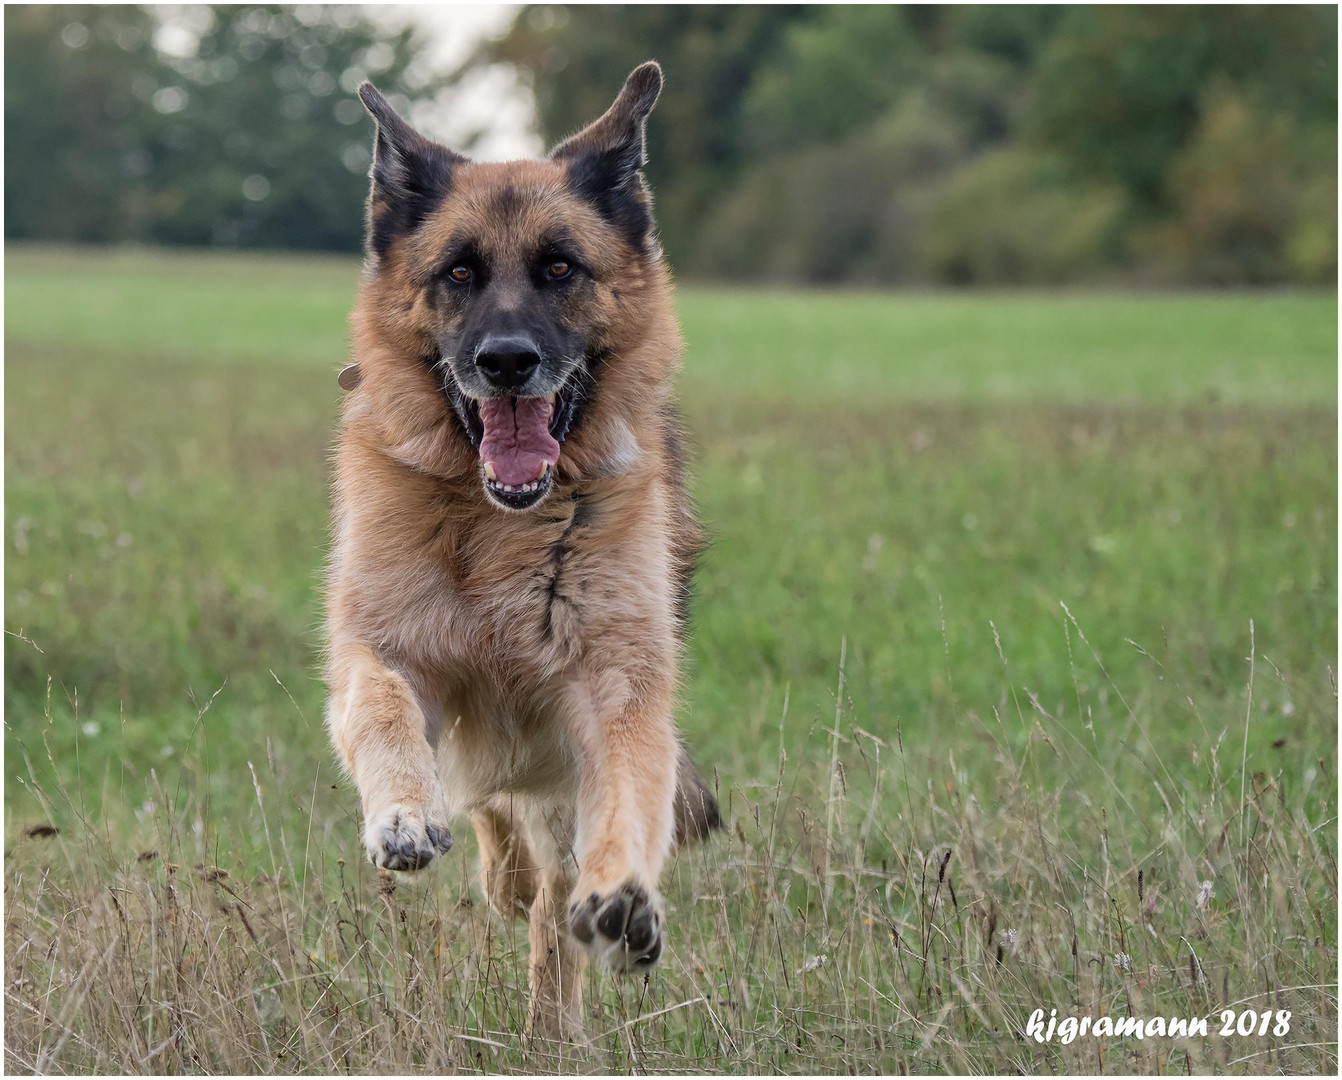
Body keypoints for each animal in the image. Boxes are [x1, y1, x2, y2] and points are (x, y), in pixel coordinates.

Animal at [324, 65, 719, 1035]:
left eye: (560, 268)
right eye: (459, 272)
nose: (507, 361)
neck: (500, 525)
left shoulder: (619, 693)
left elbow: (626, 802)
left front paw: (622, 899)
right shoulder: (378, 653)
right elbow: (383, 706)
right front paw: (403, 812)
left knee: (545, 897)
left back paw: (557, 1014)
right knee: (499, 833)